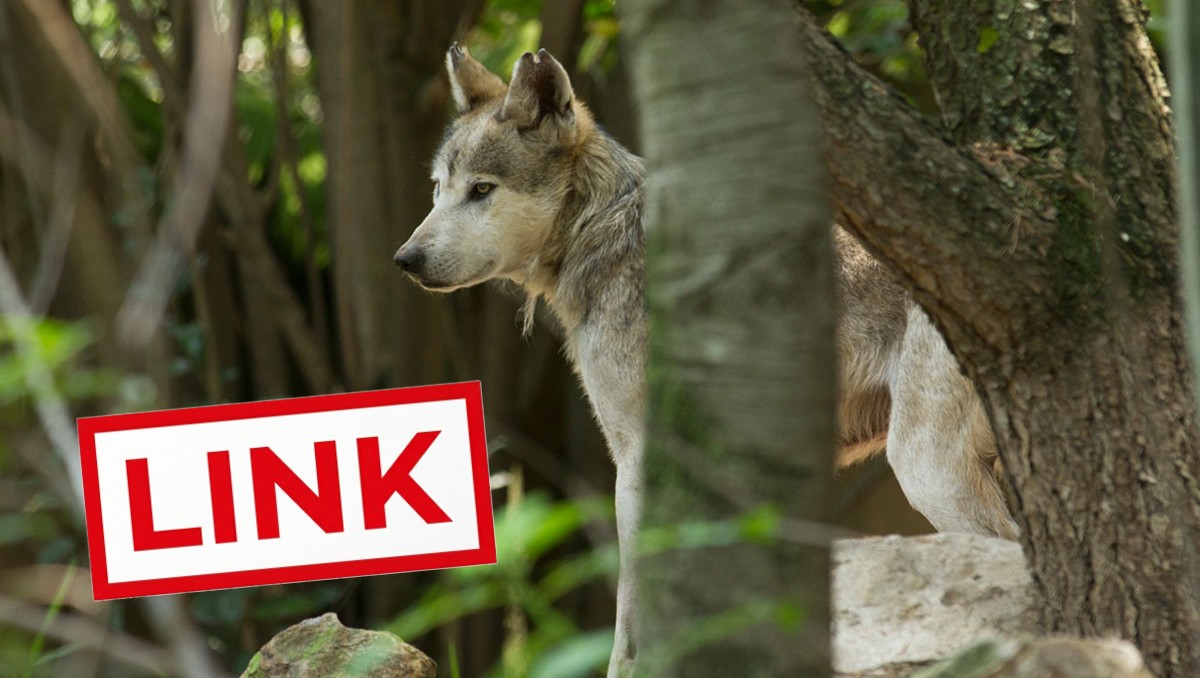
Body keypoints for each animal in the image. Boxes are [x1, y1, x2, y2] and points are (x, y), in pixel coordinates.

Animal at [394, 44, 1018, 677]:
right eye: (438, 189)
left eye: (482, 190)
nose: (404, 259)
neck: (601, 231)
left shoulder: (637, 459)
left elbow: (629, 610)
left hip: (924, 470)